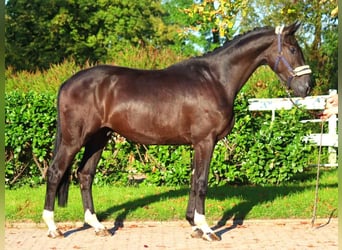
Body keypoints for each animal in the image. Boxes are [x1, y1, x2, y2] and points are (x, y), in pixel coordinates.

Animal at [42, 23, 310, 240]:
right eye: (293, 49)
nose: (307, 86)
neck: (215, 79)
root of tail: (67, 83)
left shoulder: (197, 144)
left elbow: (194, 179)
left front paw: (194, 225)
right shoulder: (205, 141)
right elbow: (201, 181)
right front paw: (207, 229)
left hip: (99, 138)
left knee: (85, 175)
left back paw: (98, 226)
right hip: (74, 139)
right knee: (55, 172)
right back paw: (53, 228)